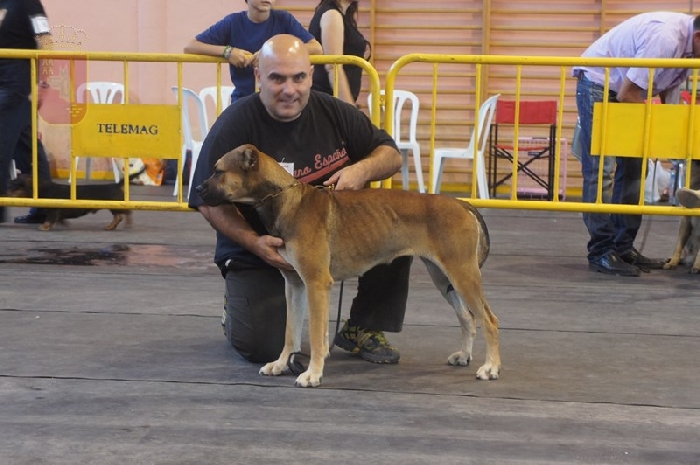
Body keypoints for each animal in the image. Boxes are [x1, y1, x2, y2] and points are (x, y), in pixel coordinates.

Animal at [7, 173, 138, 231]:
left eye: (15, 185)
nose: (6, 194)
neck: (44, 188)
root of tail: (116, 185)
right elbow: (59, 219)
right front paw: (64, 224)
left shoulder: (53, 210)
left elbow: (49, 219)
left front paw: (44, 227)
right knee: (119, 217)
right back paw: (111, 226)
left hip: (115, 205)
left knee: (126, 214)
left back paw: (125, 224)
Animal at [197, 144, 500, 388]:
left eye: (218, 171)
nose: (197, 189)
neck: (287, 201)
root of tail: (462, 204)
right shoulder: (294, 284)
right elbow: (290, 332)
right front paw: (282, 364)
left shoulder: (316, 284)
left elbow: (315, 334)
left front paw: (312, 373)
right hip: (442, 276)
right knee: (468, 318)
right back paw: (465, 356)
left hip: (462, 274)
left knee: (489, 320)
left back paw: (491, 367)